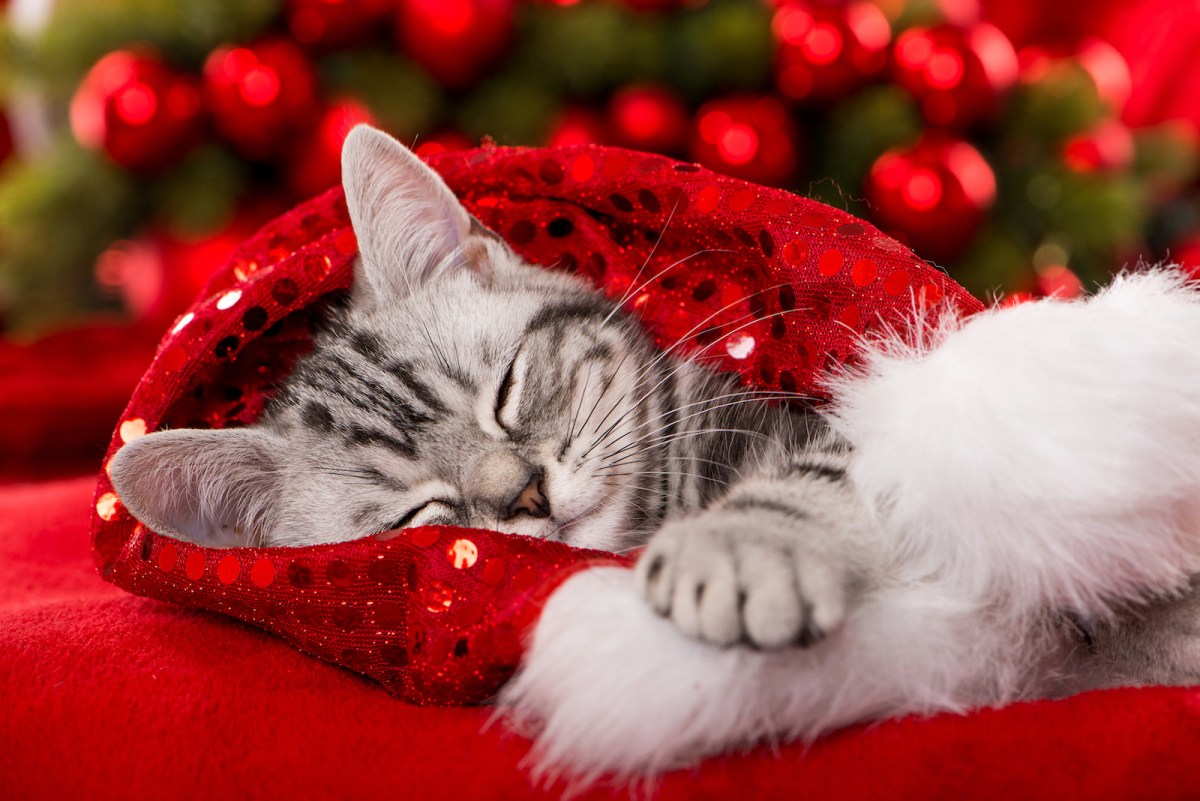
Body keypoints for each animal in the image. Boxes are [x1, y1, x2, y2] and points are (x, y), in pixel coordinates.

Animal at [110, 125, 1200, 767]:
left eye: (507, 391)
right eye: (422, 512)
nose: (526, 495)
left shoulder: (844, 410)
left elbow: (826, 474)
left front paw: (741, 548)